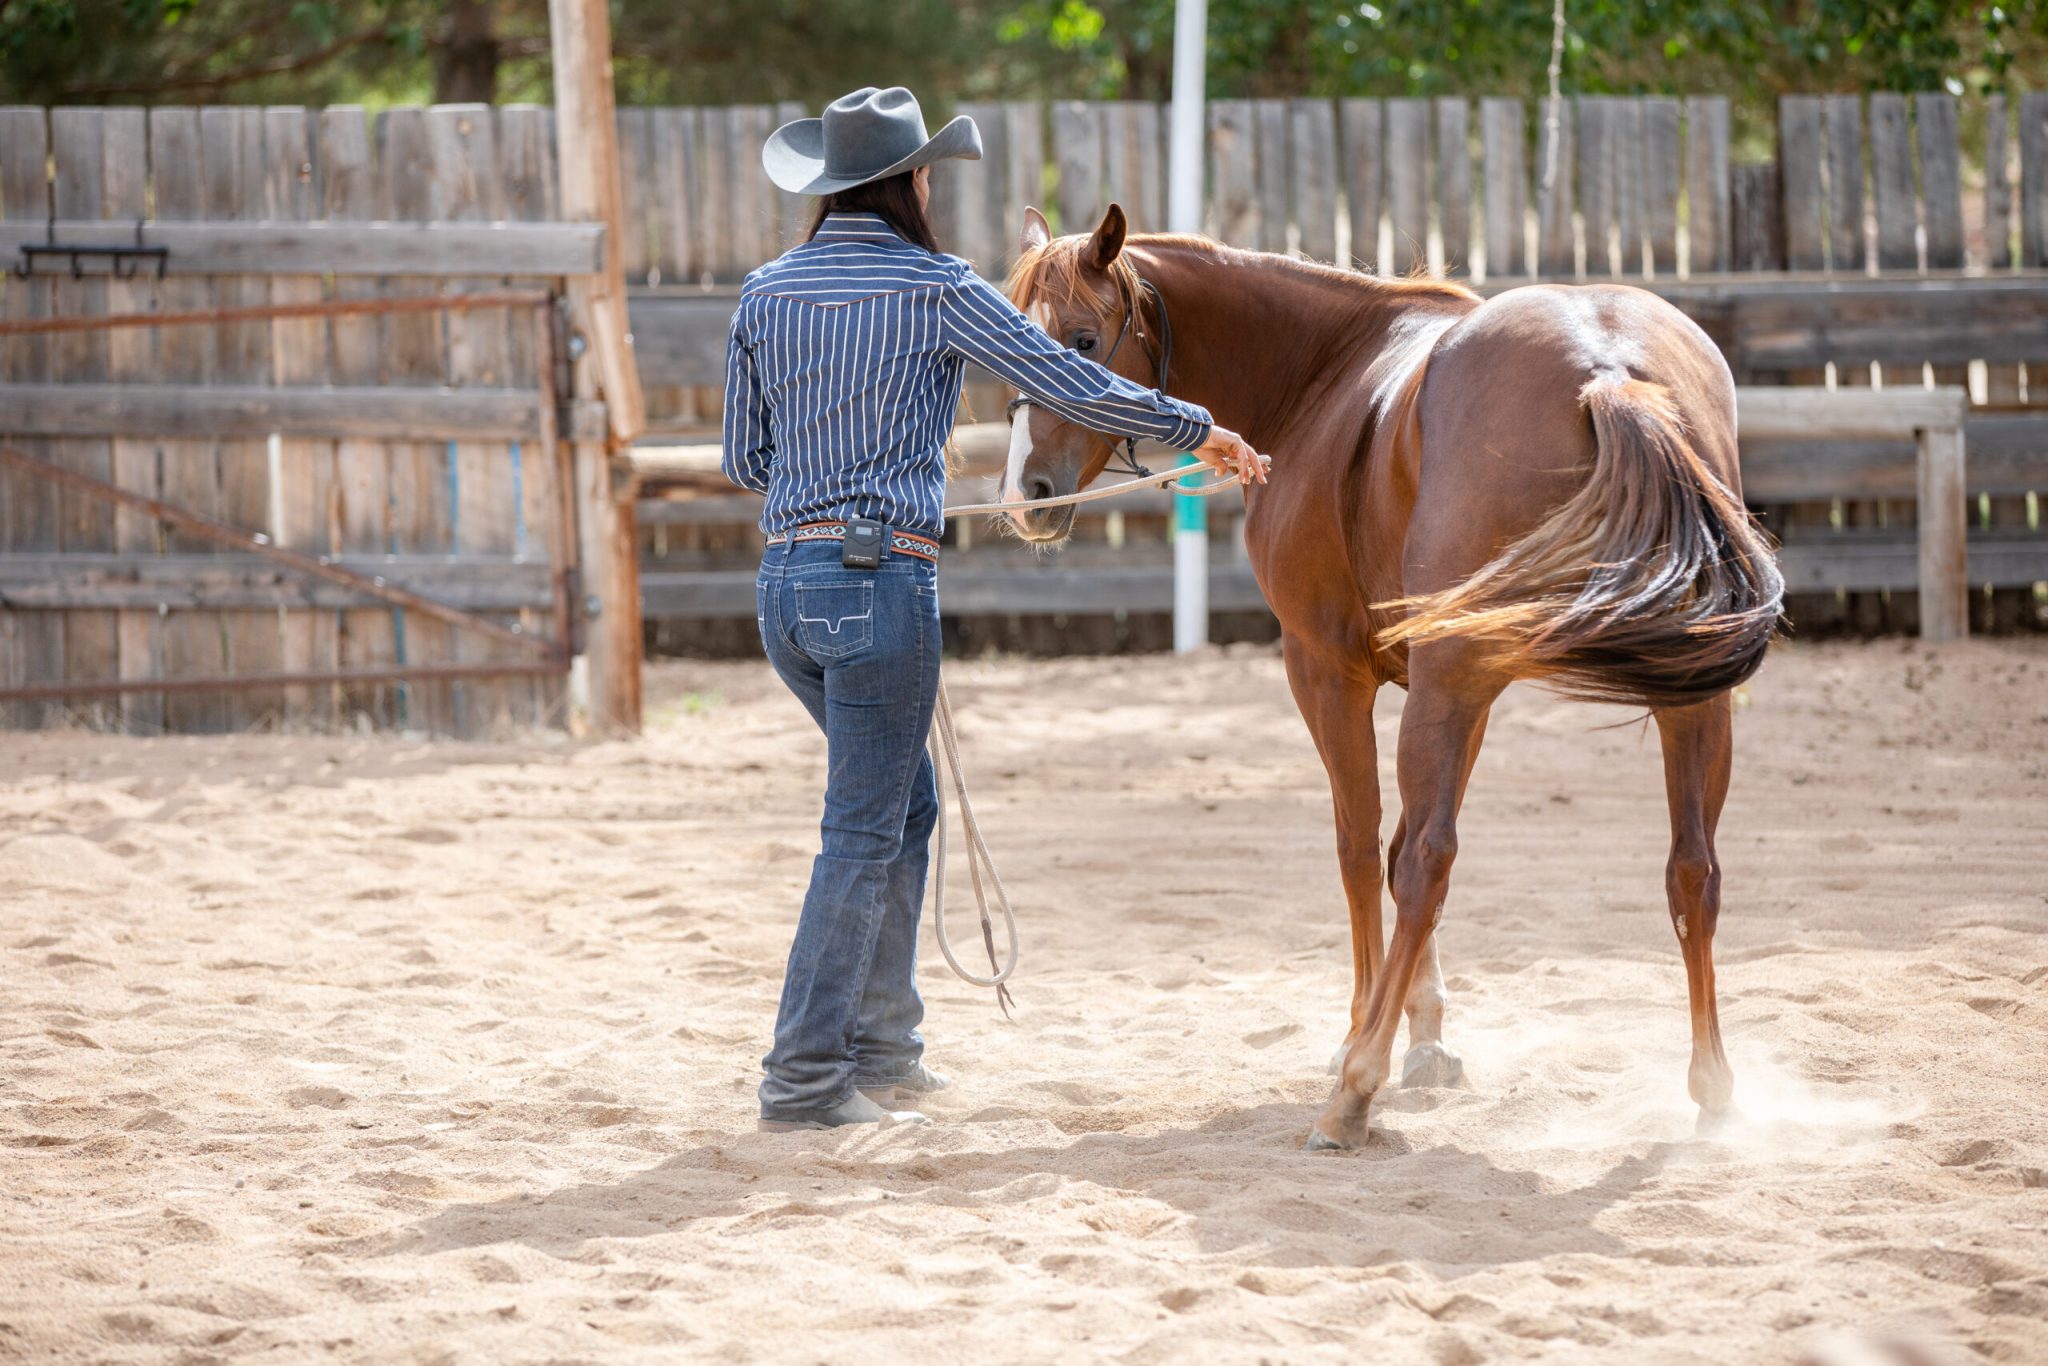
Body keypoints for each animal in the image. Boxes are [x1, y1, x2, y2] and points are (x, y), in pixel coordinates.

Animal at [999, 204, 1784, 1151]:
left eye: (1082, 338)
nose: (1028, 492)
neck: (1323, 372)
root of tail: (1607, 371)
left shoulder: (1329, 671)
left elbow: (1364, 843)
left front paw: (1362, 1033)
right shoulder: (1459, 691)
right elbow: (1402, 838)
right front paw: (1427, 1035)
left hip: (1455, 679)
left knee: (1428, 862)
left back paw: (1352, 1094)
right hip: (1679, 695)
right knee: (1691, 869)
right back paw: (1714, 1088)